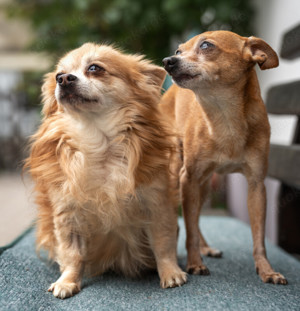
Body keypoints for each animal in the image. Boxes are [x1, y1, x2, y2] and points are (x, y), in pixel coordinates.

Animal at [161, 31, 288, 286]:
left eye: (206, 46)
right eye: (179, 51)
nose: (168, 60)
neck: (224, 119)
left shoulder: (256, 185)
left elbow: (259, 237)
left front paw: (266, 269)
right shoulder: (188, 178)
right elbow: (189, 230)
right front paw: (195, 263)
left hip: (203, 187)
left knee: (196, 218)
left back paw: (206, 248)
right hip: (180, 178)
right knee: (189, 220)